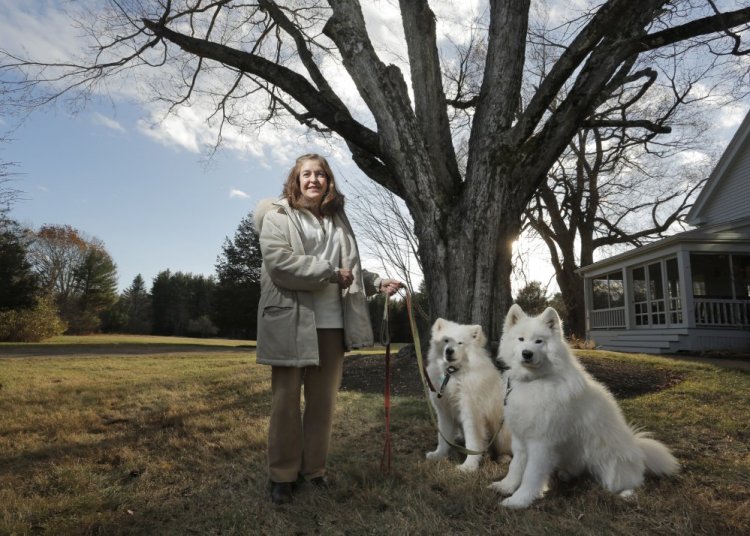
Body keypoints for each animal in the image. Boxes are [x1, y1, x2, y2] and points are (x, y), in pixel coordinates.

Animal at [426, 320, 516, 472]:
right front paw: (438, 455)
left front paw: (468, 467)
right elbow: (443, 437)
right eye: (446, 340)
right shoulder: (445, 412)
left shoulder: (471, 414)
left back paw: (503, 458)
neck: (454, 373)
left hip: (502, 432)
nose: (449, 351)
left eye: (460, 342)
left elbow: (473, 442)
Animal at [490, 304, 684, 508]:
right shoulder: (521, 439)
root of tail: (638, 449)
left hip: (610, 466)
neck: (534, 381)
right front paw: (506, 486)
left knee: (633, 482)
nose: (526, 353)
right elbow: (516, 466)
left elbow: (531, 474)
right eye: (521, 339)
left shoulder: (541, 443)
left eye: (539, 341)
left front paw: (519, 500)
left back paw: (626, 494)